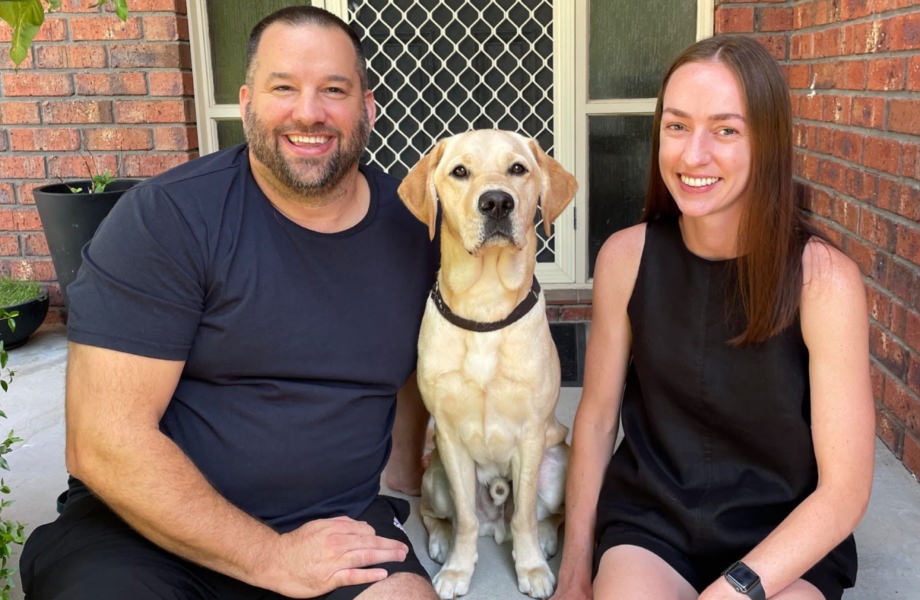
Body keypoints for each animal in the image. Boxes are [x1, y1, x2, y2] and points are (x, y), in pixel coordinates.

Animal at [398, 129, 580, 596]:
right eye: (460, 171)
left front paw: (531, 567)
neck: (485, 306)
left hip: (559, 466)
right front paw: (458, 570)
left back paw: (545, 538)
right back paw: (441, 542)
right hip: (435, 475)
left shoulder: (532, 435)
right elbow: (464, 518)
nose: (497, 202)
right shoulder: (448, 437)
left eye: (518, 168)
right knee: (436, 513)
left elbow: (524, 516)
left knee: (542, 515)